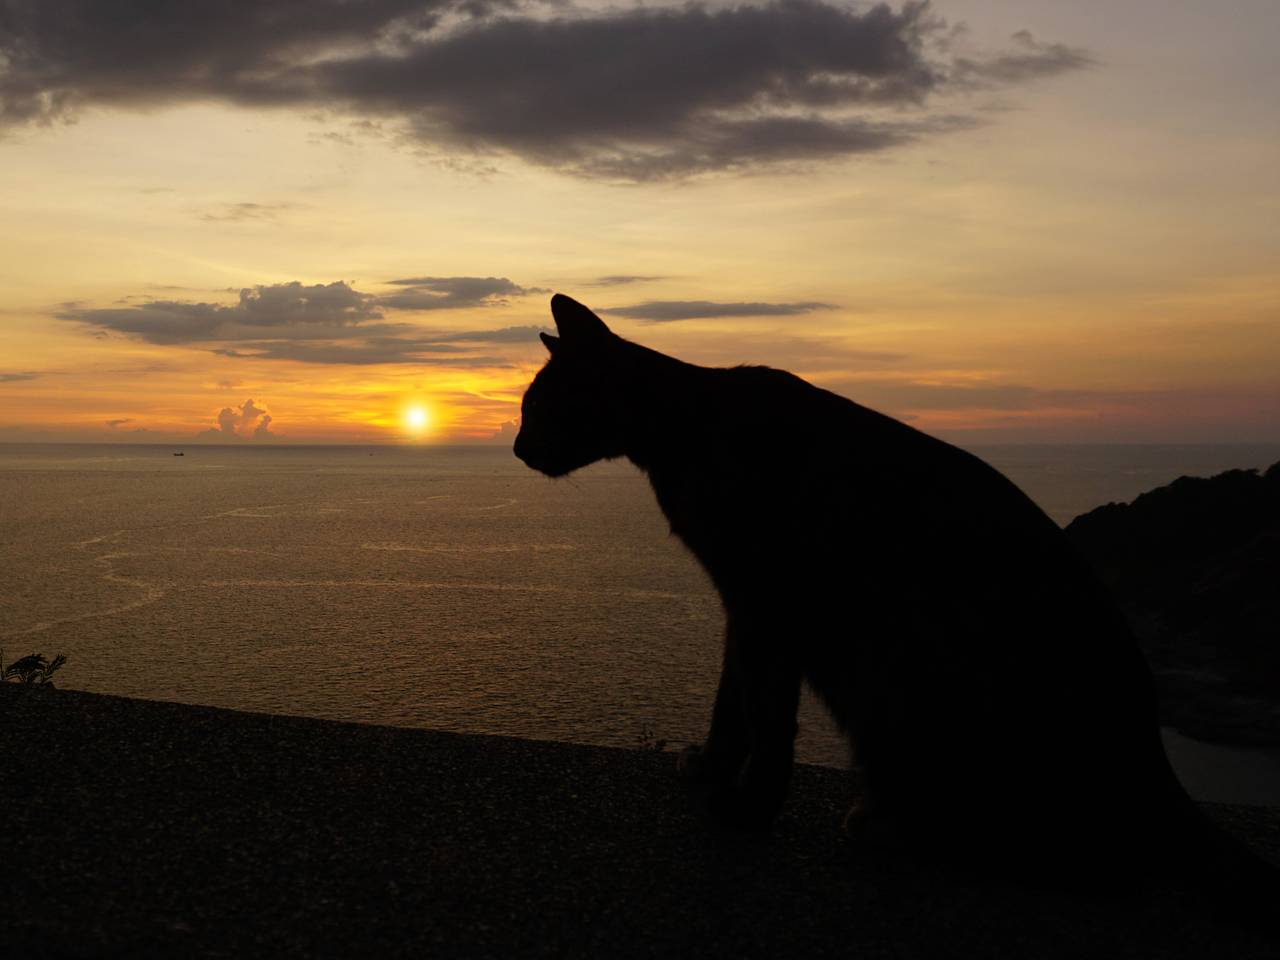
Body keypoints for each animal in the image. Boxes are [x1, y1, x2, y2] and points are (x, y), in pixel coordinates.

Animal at [515, 294, 1277, 896]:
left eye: (536, 406)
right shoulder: (743, 604)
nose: (518, 449)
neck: (682, 429)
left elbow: (768, 717)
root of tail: (1157, 768)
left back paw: (896, 824)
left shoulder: (769, 601)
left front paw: (751, 809)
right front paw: (711, 768)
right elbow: (731, 702)